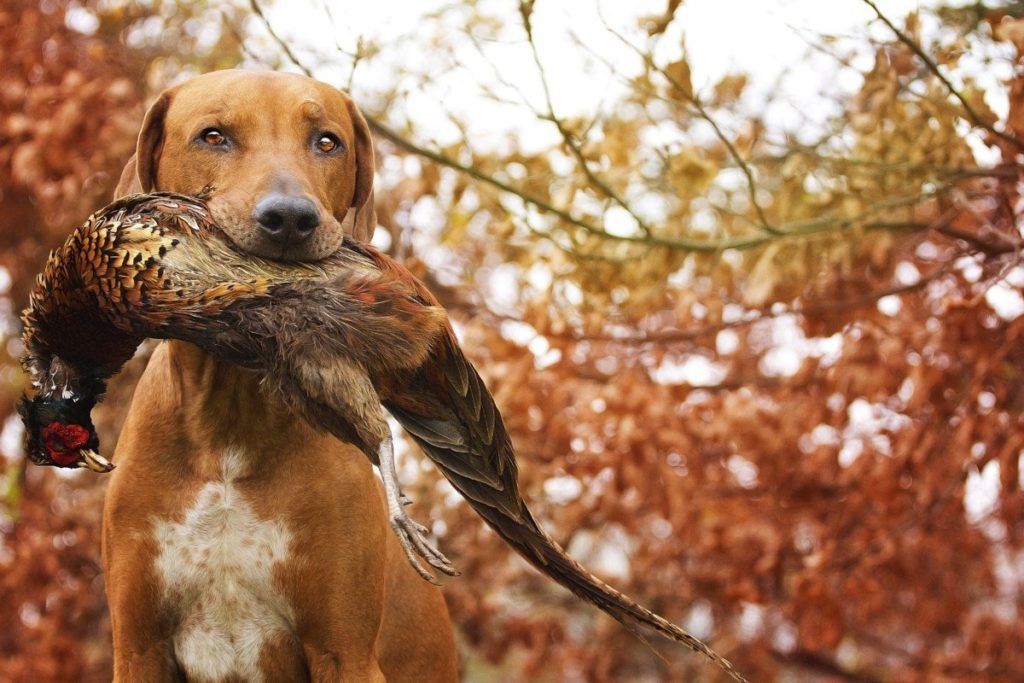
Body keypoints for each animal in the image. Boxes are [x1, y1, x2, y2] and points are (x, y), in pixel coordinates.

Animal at [100, 70, 460, 683]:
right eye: (213, 136)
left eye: (327, 142)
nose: (290, 218)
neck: (229, 420)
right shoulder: (138, 647)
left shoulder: (345, 651)